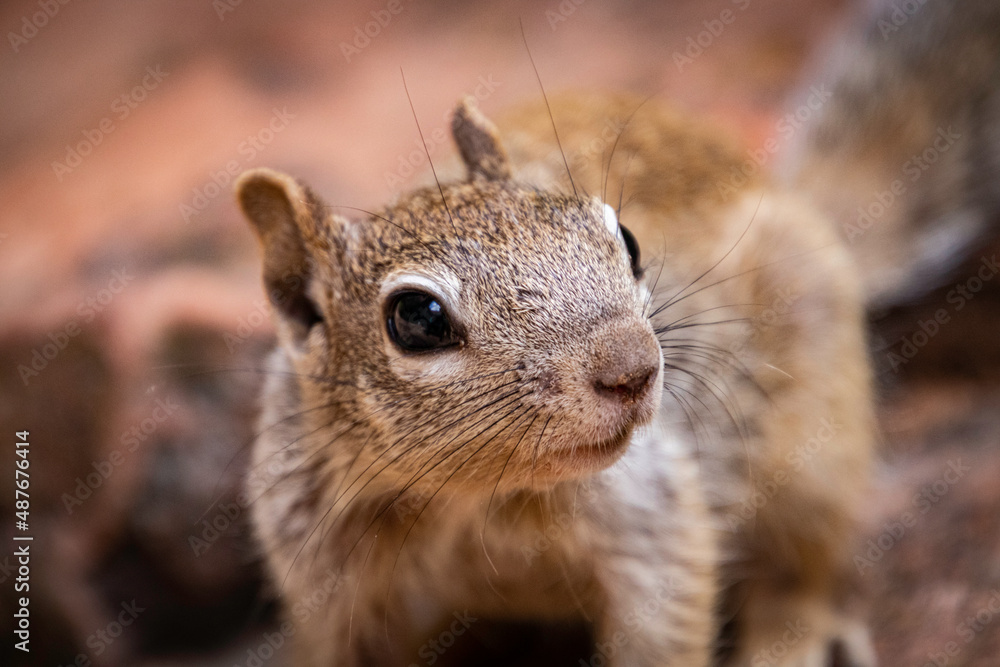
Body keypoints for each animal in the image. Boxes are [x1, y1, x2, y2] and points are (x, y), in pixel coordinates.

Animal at [234, 1, 999, 664]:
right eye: (416, 319)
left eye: (626, 239)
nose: (634, 368)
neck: (473, 500)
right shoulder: (324, 577)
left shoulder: (656, 521)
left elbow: (669, 616)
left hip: (817, 445)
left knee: (802, 562)